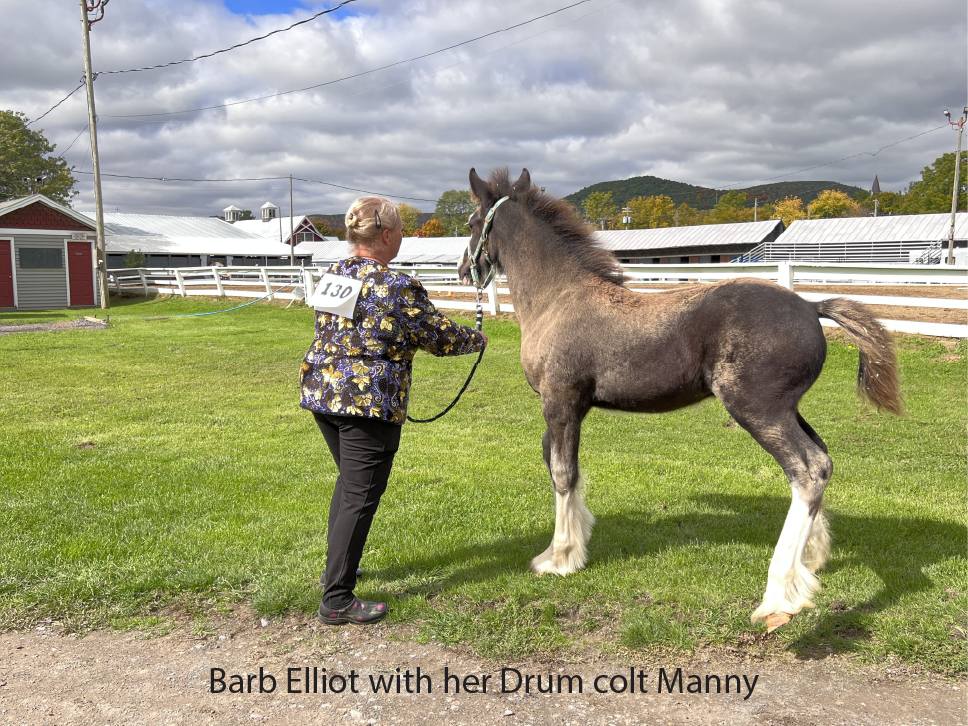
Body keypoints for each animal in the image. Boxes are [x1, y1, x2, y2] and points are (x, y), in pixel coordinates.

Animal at [458, 168, 904, 636]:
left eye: (470, 222)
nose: (462, 271)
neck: (558, 298)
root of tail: (811, 305)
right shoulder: (568, 409)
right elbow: (560, 465)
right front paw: (577, 542)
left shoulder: (559, 403)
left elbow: (562, 473)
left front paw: (559, 558)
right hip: (788, 410)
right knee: (821, 459)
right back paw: (811, 559)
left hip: (758, 411)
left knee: (808, 469)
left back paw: (780, 595)